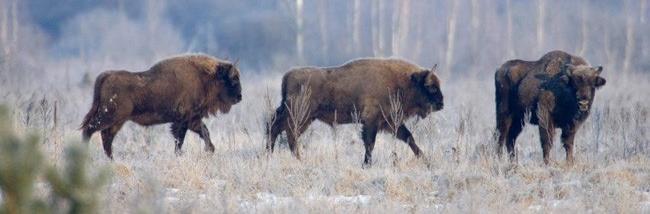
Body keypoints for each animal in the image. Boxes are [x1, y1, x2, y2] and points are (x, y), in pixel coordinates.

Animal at [79, 54, 242, 158]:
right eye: (233, 79)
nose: (240, 97)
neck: (204, 77)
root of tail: (105, 76)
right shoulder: (184, 119)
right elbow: (180, 139)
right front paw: (180, 154)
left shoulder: (193, 119)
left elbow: (204, 132)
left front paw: (210, 149)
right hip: (110, 116)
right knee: (90, 130)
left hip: (117, 121)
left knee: (106, 136)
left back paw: (111, 159)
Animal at [264, 58, 440, 167]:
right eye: (430, 86)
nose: (441, 103)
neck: (403, 82)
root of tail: (287, 76)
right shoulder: (372, 122)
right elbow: (370, 144)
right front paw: (366, 165)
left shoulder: (390, 123)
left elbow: (409, 138)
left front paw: (426, 161)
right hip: (302, 116)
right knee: (289, 133)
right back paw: (298, 159)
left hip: (295, 115)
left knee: (274, 127)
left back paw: (269, 155)